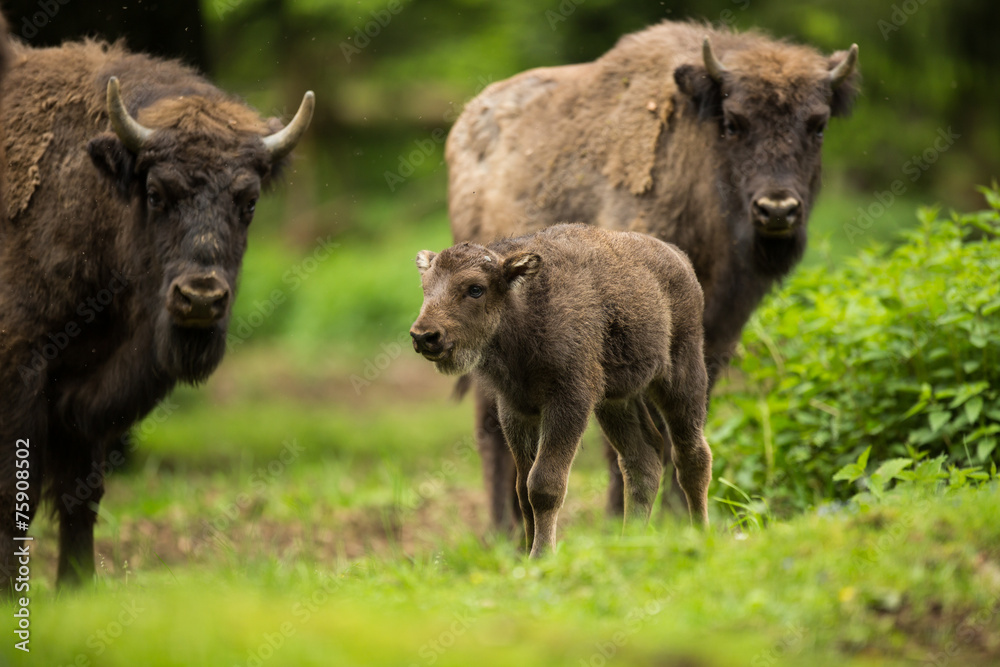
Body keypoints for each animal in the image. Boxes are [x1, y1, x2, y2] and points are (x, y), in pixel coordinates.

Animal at [0, 39, 314, 591]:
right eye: (155, 193)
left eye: (249, 201)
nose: (200, 298)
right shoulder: (20, 373)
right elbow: (16, 495)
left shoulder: (85, 399)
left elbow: (81, 495)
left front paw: (77, 587)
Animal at [446, 21, 859, 530]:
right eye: (732, 122)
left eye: (818, 124)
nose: (777, 209)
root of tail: (469, 123)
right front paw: (618, 520)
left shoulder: (710, 335)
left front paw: (677, 517)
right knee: (490, 428)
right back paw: (502, 531)